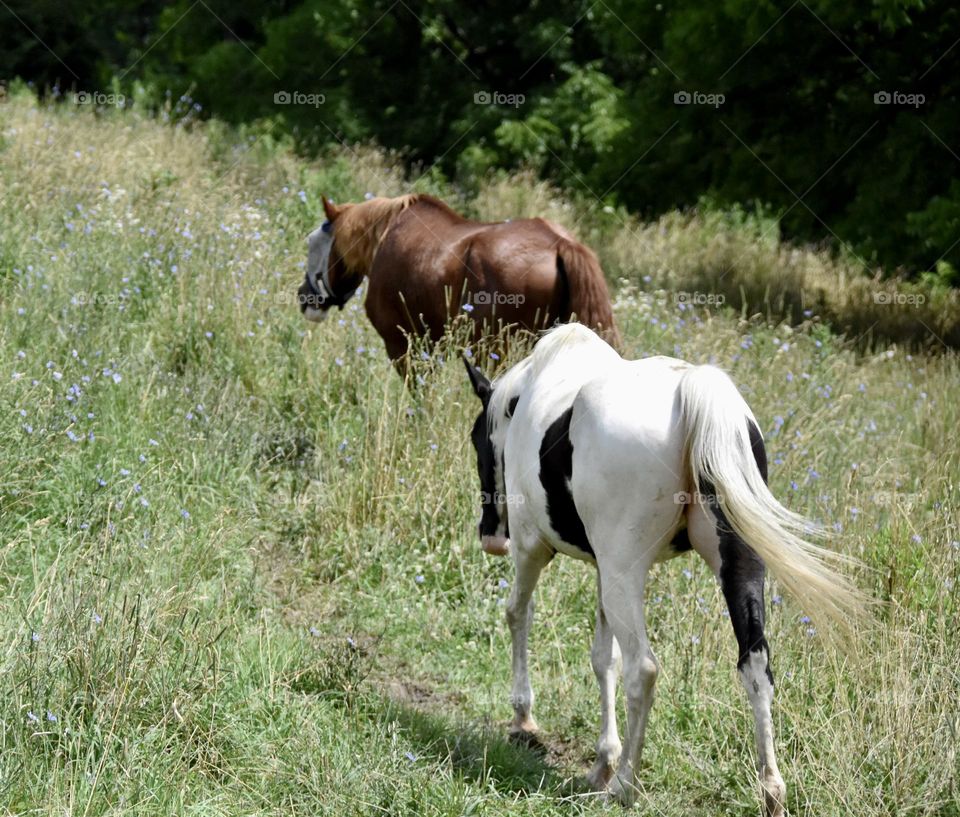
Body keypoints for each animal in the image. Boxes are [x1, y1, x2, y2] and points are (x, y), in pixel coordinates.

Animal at [464, 326, 864, 816]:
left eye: (477, 441)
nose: (490, 536)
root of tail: (695, 390)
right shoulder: (604, 569)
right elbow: (604, 659)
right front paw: (602, 761)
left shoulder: (531, 548)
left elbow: (519, 613)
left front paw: (525, 717)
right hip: (733, 564)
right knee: (755, 663)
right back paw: (771, 789)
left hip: (619, 571)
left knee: (644, 669)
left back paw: (626, 786)